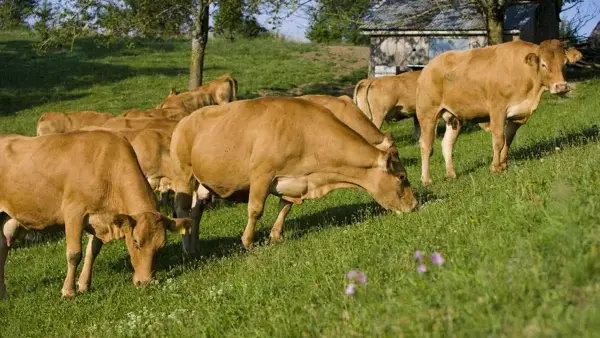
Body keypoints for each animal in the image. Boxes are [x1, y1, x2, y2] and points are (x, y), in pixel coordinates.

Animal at [0, 131, 192, 298]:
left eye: (162, 245)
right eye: (136, 242)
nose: (145, 282)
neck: (107, 168)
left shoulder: (102, 218)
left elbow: (92, 251)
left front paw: (84, 284)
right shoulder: (74, 213)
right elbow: (74, 254)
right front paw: (68, 291)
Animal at [169, 97, 418, 254]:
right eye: (401, 177)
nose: (414, 205)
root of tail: (185, 121)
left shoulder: (293, 180)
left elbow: (285, 207)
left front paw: (276, 236)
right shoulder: (261, 174)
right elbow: (256, 209)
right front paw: (248, 242)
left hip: (203, 184)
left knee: (195, 213)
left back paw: (195, 246)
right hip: (184, 175)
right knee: (182, 210)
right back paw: (187, 247)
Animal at [418, 39, 580, 185]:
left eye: (565, 63)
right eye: (543, 64)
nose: (561, 87)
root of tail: (429, 66)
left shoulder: (517, 115)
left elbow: (508, 140)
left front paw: (503, 165)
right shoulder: (497, 109)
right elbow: (498, 140)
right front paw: (495, 167)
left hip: (455, 117)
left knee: (447, 143)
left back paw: (451, 174)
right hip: (428, 114)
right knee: (426, 145)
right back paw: (426, 180)